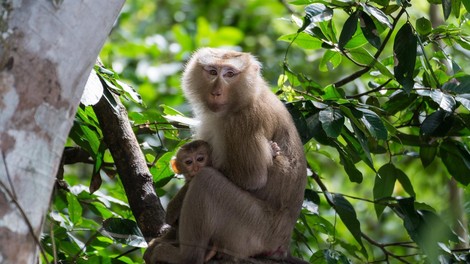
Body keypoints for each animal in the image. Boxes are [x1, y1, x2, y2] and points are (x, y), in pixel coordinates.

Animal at [145, 48, 306, 264]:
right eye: (212, 72)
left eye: (230, 74)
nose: (216, 91)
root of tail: (283, 246)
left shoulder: (245, 121)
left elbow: (251, 178)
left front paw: (174, 207)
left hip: (252, 229)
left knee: (207, 181)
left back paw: (186, 256)